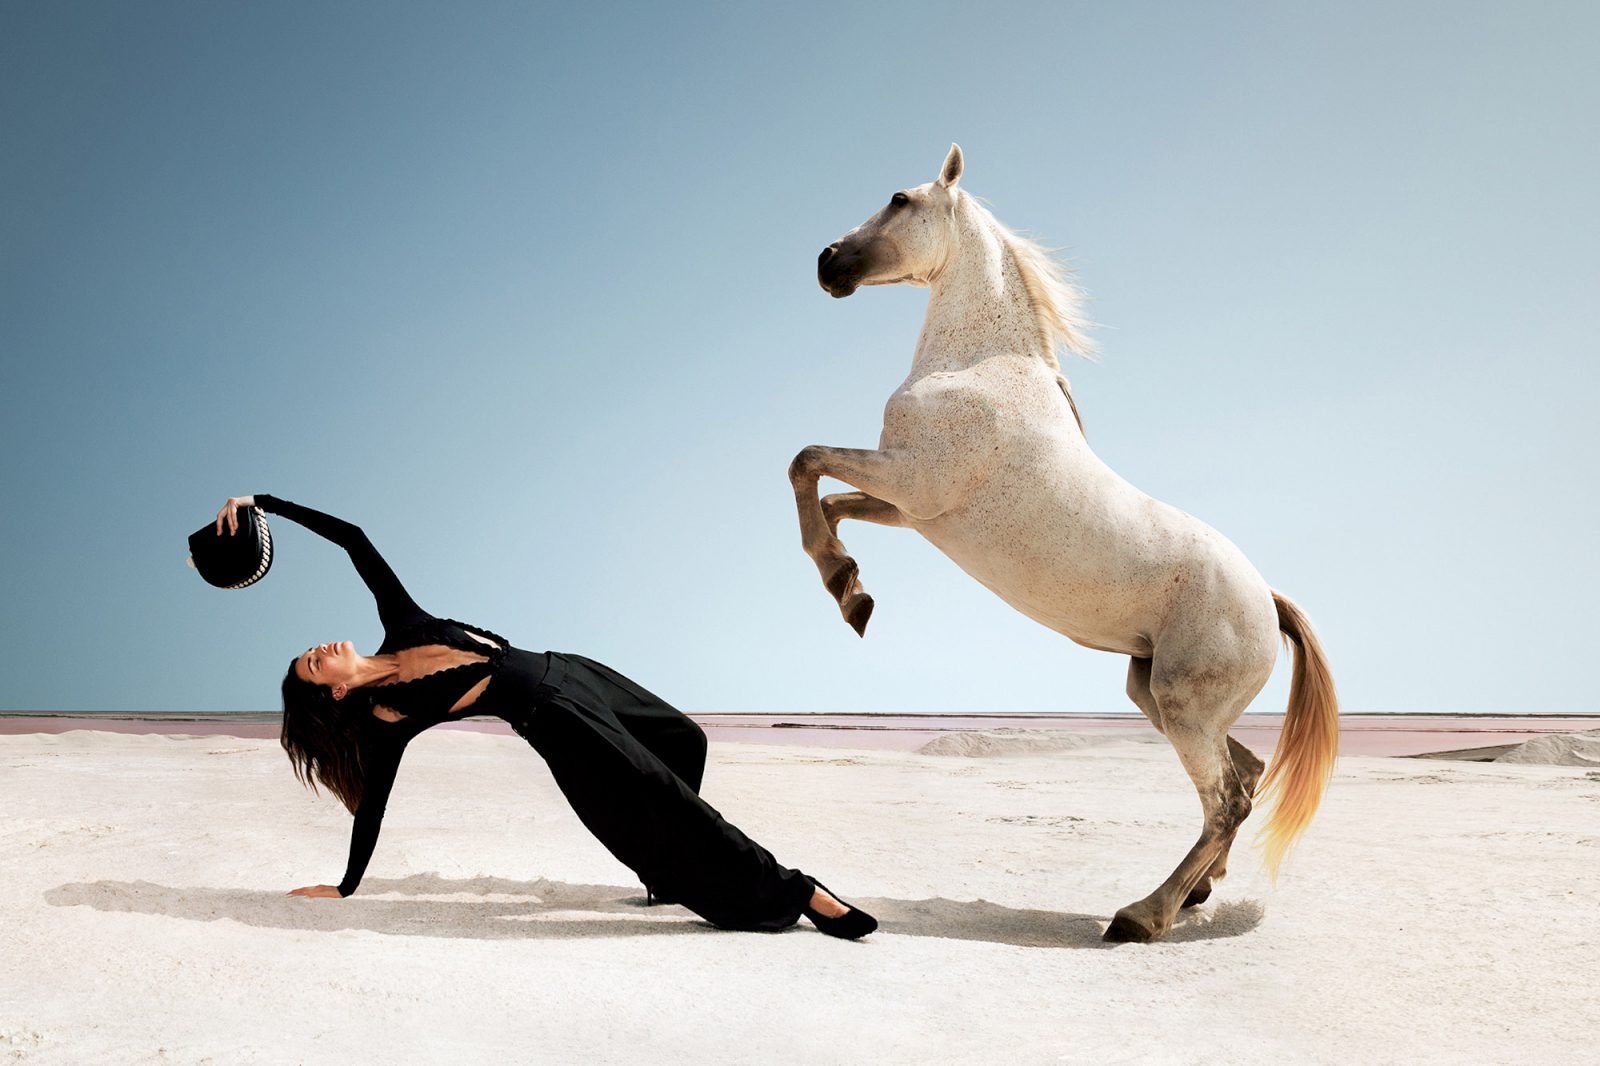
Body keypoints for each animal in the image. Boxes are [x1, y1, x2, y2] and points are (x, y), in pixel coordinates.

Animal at [790, 140, 1337, 941]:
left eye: (898, 198)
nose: (828, 262)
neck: (979, 368)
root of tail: (1267, 601)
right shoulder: (913, 509)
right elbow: (830, 502)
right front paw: (851, 592)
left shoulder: (913, 484)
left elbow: (805, 463)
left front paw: (844, 586)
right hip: (1157, 694)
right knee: (1246, 774)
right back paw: (1199, 891)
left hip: (1182, 706)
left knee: (1228, 800)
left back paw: (1142, 915)